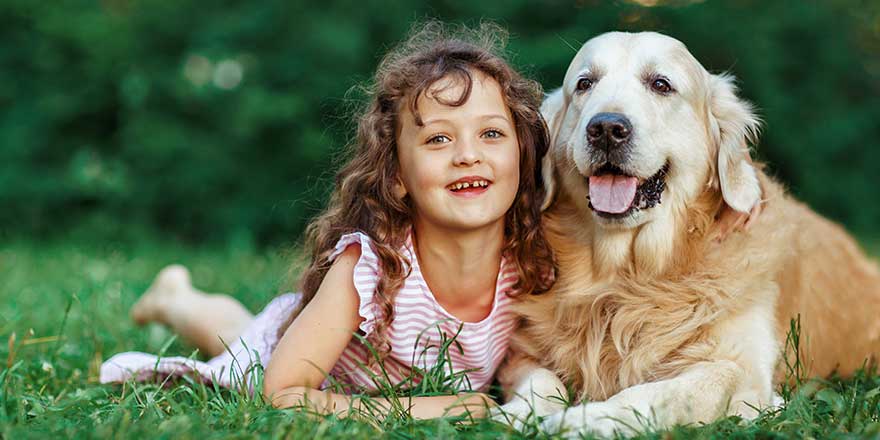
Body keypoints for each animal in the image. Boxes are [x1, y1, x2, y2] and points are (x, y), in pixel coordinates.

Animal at [492, 31, 880, 436]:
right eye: (584, 84)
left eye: (661, 84)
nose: (606, 129)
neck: (628, 277)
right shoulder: (522, 353)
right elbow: (542, 382)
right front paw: (517, 414)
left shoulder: (743, 373)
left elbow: (661, 394)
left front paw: (588, 419)